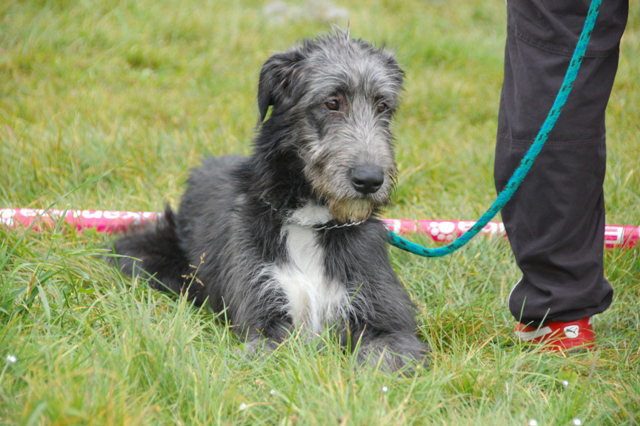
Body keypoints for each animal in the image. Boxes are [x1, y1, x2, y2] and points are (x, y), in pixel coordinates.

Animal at [111, 29, 430, 370]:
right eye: (332, 102)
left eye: (383, 105)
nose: (369, 180)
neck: (309, 220)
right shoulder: (263, 321)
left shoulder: (390, 324)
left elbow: (381, 358)